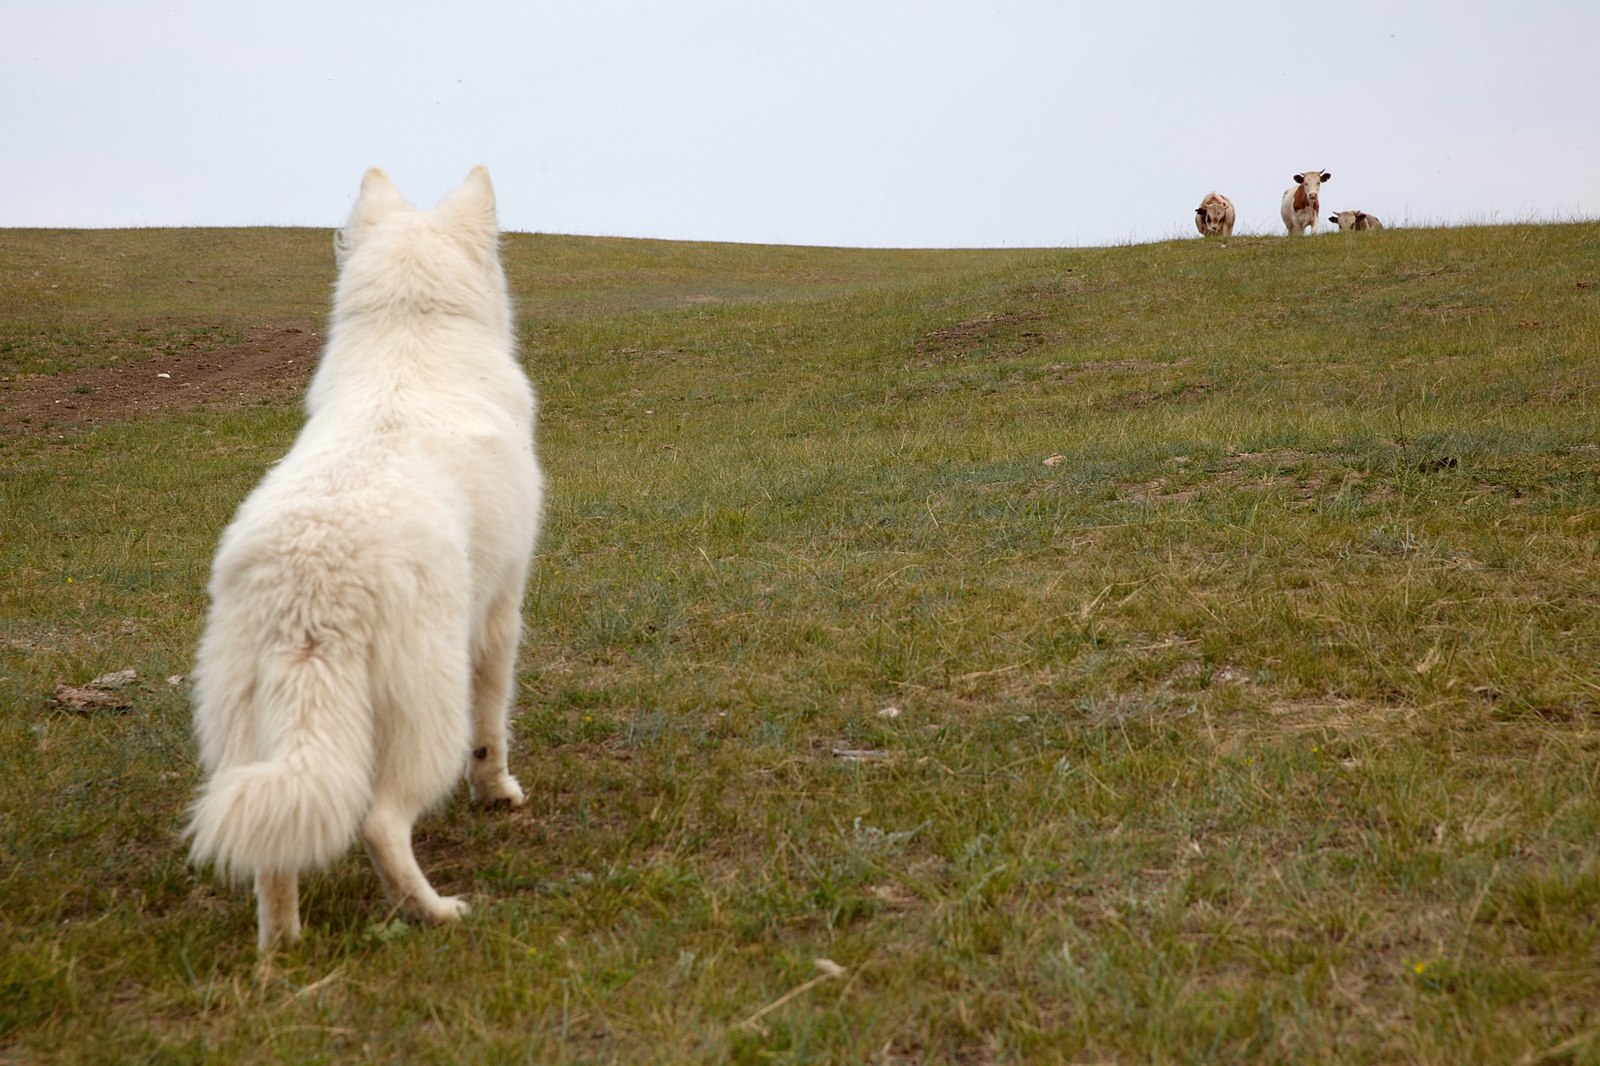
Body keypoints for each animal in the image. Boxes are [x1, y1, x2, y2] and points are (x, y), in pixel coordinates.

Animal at [187, 166, 544, 947]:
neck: (411, 335)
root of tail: (311, 585)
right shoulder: (501, 611)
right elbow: (493, 725)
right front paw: (498, 792)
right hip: (424, 713)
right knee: (380, 823)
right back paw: (435, 911)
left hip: (250, 734)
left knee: (274, 846)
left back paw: (284, 947)